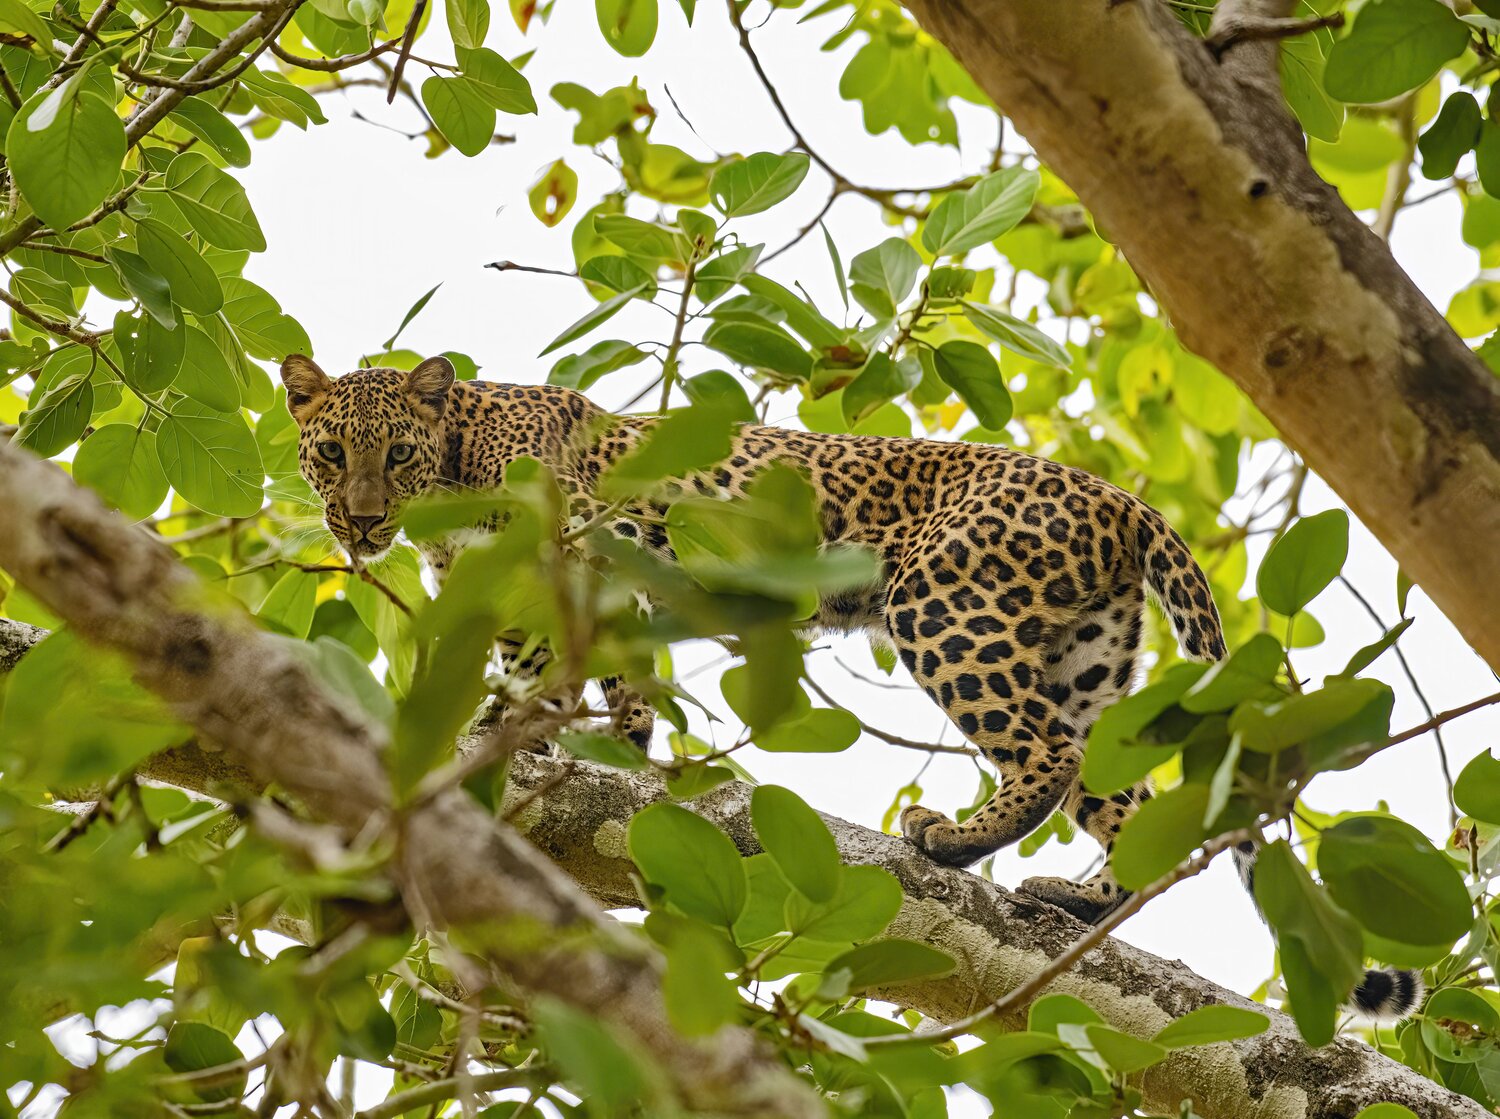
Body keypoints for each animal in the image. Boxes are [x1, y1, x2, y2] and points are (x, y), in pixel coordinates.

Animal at [281, 352, 1228, 925]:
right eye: (329, 452)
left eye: (398, 453)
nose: (360, 521)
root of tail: (1120, 496)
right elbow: (596, 680)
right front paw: (601, 743)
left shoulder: (579, 549)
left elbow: (553, 671)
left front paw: (521, 734)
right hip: (1084, 662)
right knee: (1131, 803)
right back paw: (1080, 897)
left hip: (942, 605)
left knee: (1047, 751)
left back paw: (951, 837)